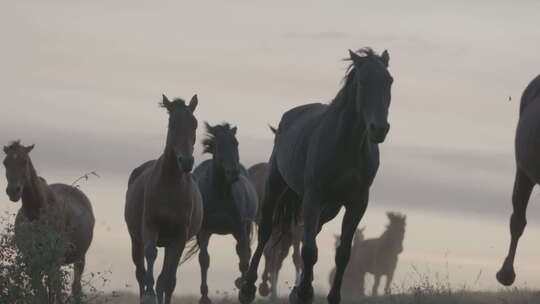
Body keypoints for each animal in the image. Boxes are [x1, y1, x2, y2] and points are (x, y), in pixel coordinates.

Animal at [2, 141, 95, 302]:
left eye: (24, 161)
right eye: (5, 163)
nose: (13, 190)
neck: (36, 216)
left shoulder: (55, 260)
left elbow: (56, 291)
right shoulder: (31, 261)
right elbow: (41, 293)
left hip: (79, 257)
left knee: (75, 288)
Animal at [124, 95, 202, 304]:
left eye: (194, 124)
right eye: (172, 124)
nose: (186, 162)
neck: (170, 186)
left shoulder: (179, 237)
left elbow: (167, 279)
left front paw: (157, 292)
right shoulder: (150, 226)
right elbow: (151, 255)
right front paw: (149, 295)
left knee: (168, 280)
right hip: (136, 240)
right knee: (140, 272)